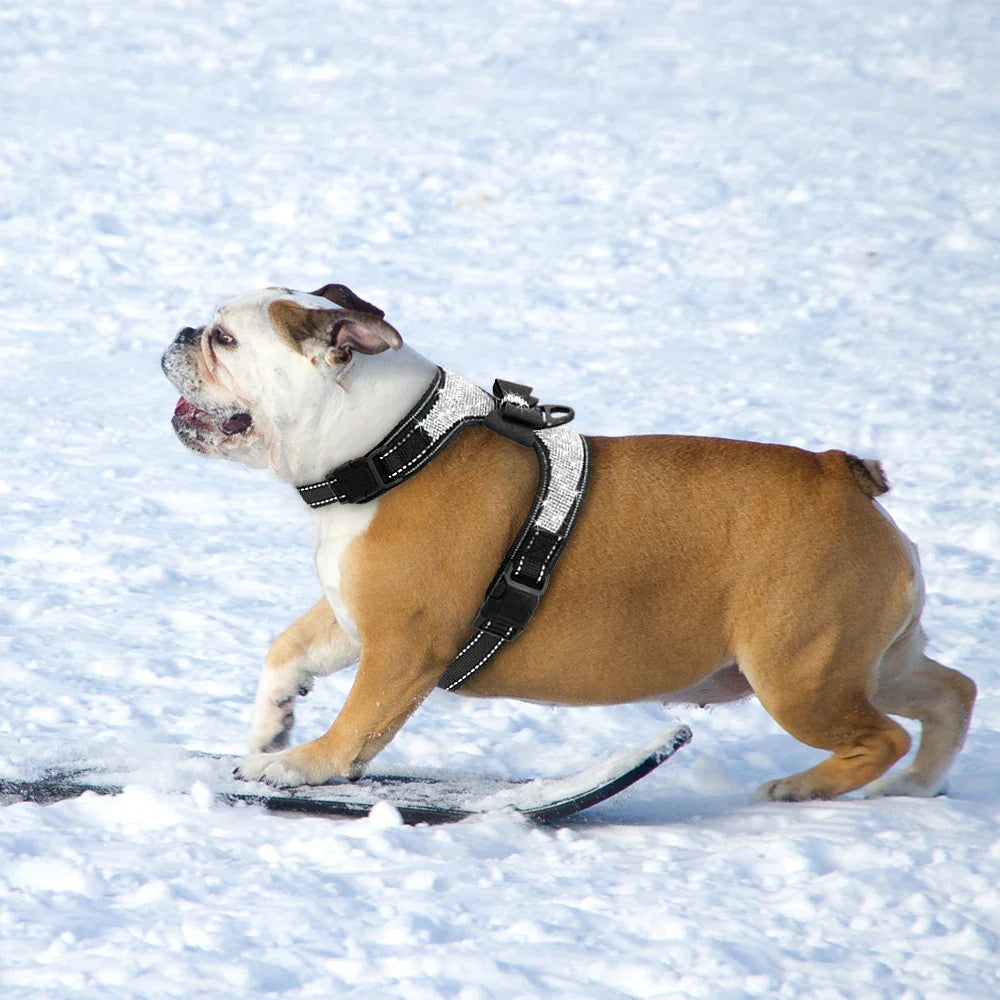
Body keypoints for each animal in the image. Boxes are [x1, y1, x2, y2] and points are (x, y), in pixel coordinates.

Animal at [162, 286, 976, 800]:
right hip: (867, 659)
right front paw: (271, 724)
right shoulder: (350, 612)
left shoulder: (402, 644)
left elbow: (361, 720)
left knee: (881, 735)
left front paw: (302, 767)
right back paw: (916, 785)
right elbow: (288, 649)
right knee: (949, 694)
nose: (180, 333)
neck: (391, 446)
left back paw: (805, 787)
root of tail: (843, 475)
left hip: (798, 673)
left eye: (225, 339)